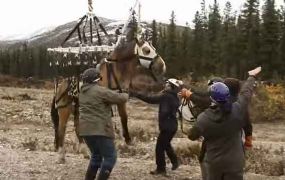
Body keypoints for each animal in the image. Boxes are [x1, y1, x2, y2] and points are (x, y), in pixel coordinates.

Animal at [50, 15, 165, 163]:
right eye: (146, 50)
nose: (162, 66)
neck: (115, 71)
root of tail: (60, 86)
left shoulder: (121, 98)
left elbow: (124, 118)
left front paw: (127, 141)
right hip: (65, 109)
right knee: (61, 130)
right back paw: (61, 155)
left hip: (77, 108)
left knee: (77, 126)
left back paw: (84, 151)